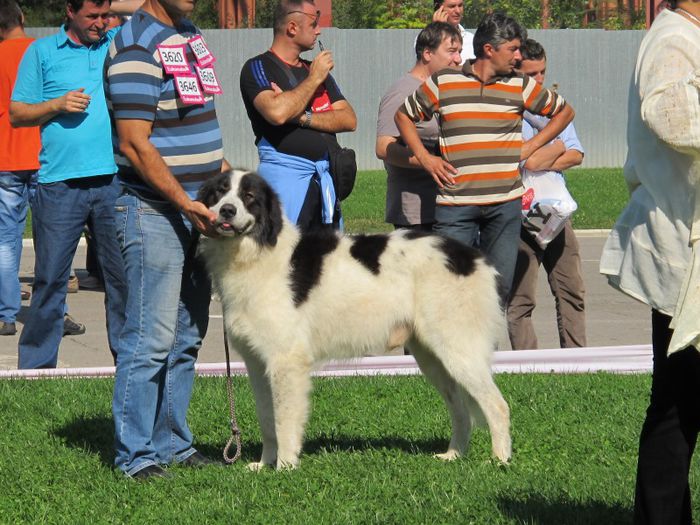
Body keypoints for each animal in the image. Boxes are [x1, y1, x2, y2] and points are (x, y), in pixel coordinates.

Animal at [197, 172, 508, 470]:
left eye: (249, 197)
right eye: (219, 192)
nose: (226, 210)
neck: (257, 253)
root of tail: (473, 257)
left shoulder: (286, 361)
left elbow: (284, 420)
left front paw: (284, 466)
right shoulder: (258, 364)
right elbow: (266, 419)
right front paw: (264, 464)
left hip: (458, 350)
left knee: (498, 406)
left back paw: (499, 461)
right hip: (433, 358)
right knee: (461, 410)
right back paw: (453, 455)